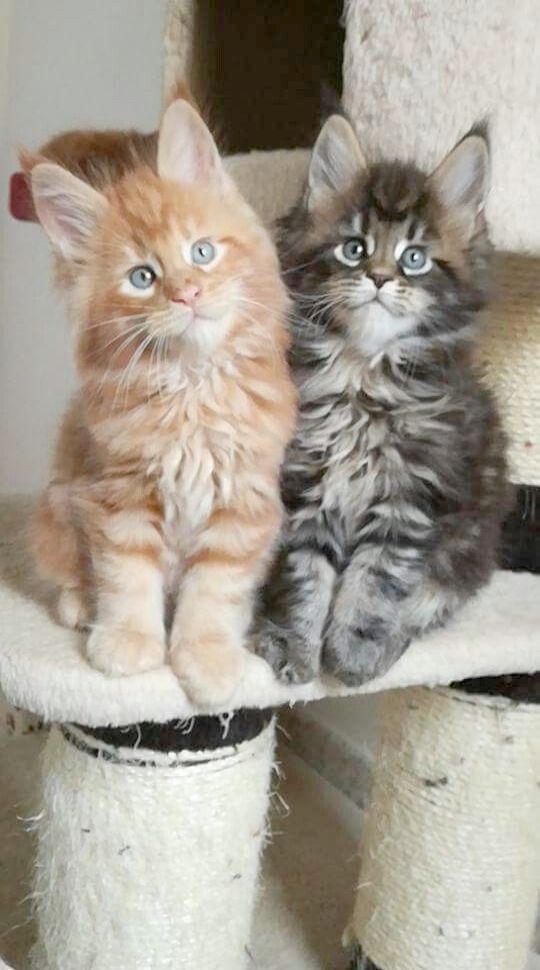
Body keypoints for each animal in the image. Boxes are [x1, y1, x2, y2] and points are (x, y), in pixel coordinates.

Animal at [29, 100, 296, 704]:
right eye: (142, 277)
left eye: (202, 252)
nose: (187, 294)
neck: (191, 389)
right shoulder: (119, 496)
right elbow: (127, 578)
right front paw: (127, 642)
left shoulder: (243, 506)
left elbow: (215, 592)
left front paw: (208, 659)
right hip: (56, 508)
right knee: (67, 574)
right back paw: (80, 606)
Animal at [258, 113, 510, 684]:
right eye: (353, 248)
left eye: (413, 259)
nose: (378, 277)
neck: (363, 380)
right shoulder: (305, 485)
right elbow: (304, 576)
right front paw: (295, 647)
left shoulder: (412, 496)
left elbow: (375, 581)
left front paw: (351, 654)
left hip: (468, 542)